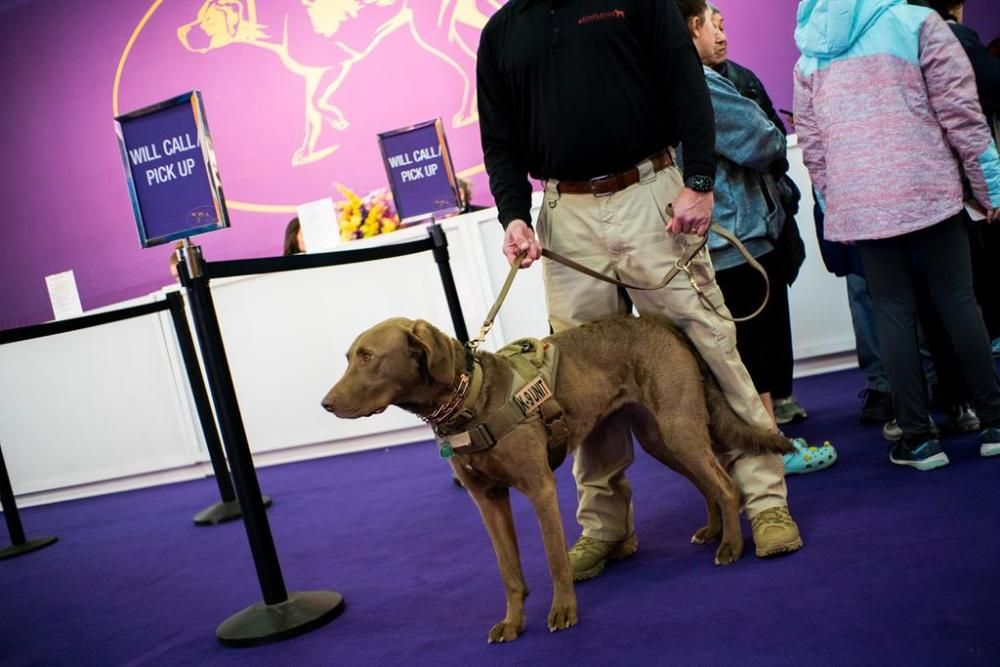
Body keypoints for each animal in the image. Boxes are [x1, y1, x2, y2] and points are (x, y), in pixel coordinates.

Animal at [324, 316, 792, 644]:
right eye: (348, 357)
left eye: (368, 356)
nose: (326, 404)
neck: (471, 396)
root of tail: (660, 323)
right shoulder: (488, 501)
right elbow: (509, 571)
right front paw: (512, 624)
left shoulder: (540, 489)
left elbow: (554, 559)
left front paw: (564, 612)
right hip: (660, 437)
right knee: (707, 482)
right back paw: (713, 531)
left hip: (679, 427)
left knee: (725, 483)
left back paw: (731, 546)